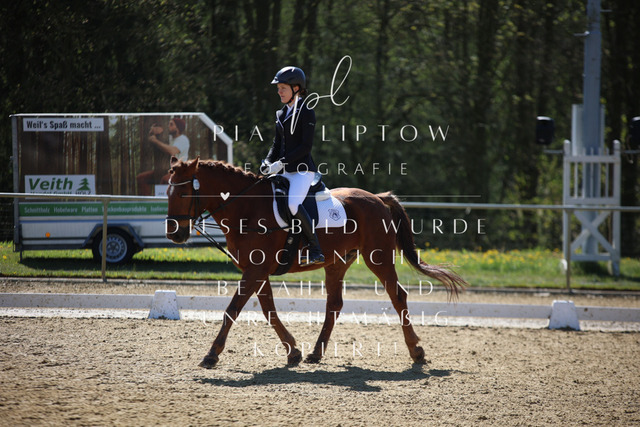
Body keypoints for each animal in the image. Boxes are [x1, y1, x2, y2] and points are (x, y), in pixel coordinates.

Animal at [165, 156, 467, 368]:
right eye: (167, 193)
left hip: (378, 257)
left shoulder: (255, 269)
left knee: (398, 295)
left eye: (182, 194)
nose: (174, 234)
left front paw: (211, 355)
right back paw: (315, 352)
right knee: (334, 304)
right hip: (337, 262)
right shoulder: (257, 270)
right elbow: (268, 310)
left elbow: (232, 309)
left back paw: (416, 351)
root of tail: (378, 199)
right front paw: (293, 351)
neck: (247, 209)